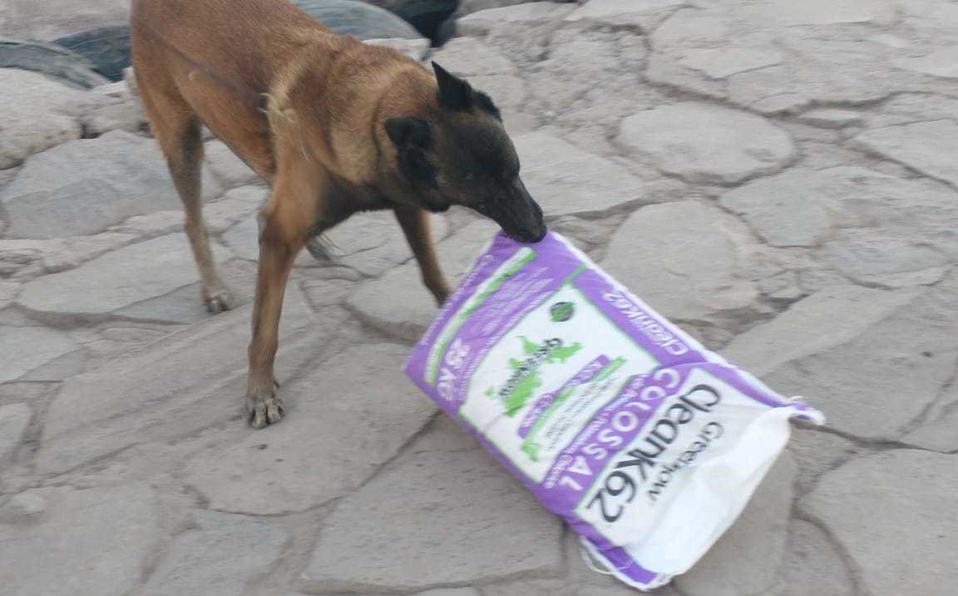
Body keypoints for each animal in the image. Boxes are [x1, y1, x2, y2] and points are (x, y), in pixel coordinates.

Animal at [130, 0, 547, 428]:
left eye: (515, 172)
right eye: (485, 200)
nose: (539, 232)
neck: (373, 107)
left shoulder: (406, 202)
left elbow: (431, 272)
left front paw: (455, 316)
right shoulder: (282, 229)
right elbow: (265, 328)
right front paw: (260, 391)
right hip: (182, 140)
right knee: (193, 219)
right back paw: (214, 287)